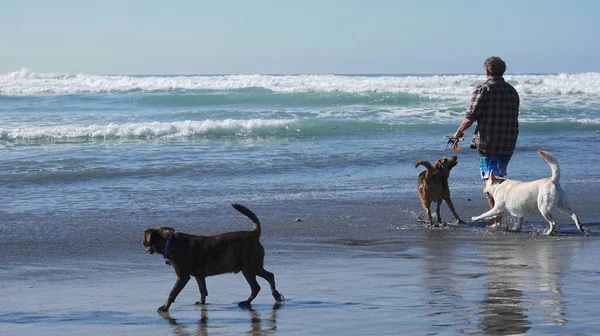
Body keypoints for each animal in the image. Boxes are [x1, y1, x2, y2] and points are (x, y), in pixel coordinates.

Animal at [145, 203, 286, 312]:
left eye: (144, 238)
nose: (142, 242)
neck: (170, 242)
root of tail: (254, 233)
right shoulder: (199, 276)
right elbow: (203, 290)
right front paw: (202, 302)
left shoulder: (182, 277)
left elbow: (173, 292)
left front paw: (165, 307)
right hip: (254, 266)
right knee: (270, 276)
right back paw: (275, 295)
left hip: (249, 268)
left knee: (256, 287)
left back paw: (247, 302)